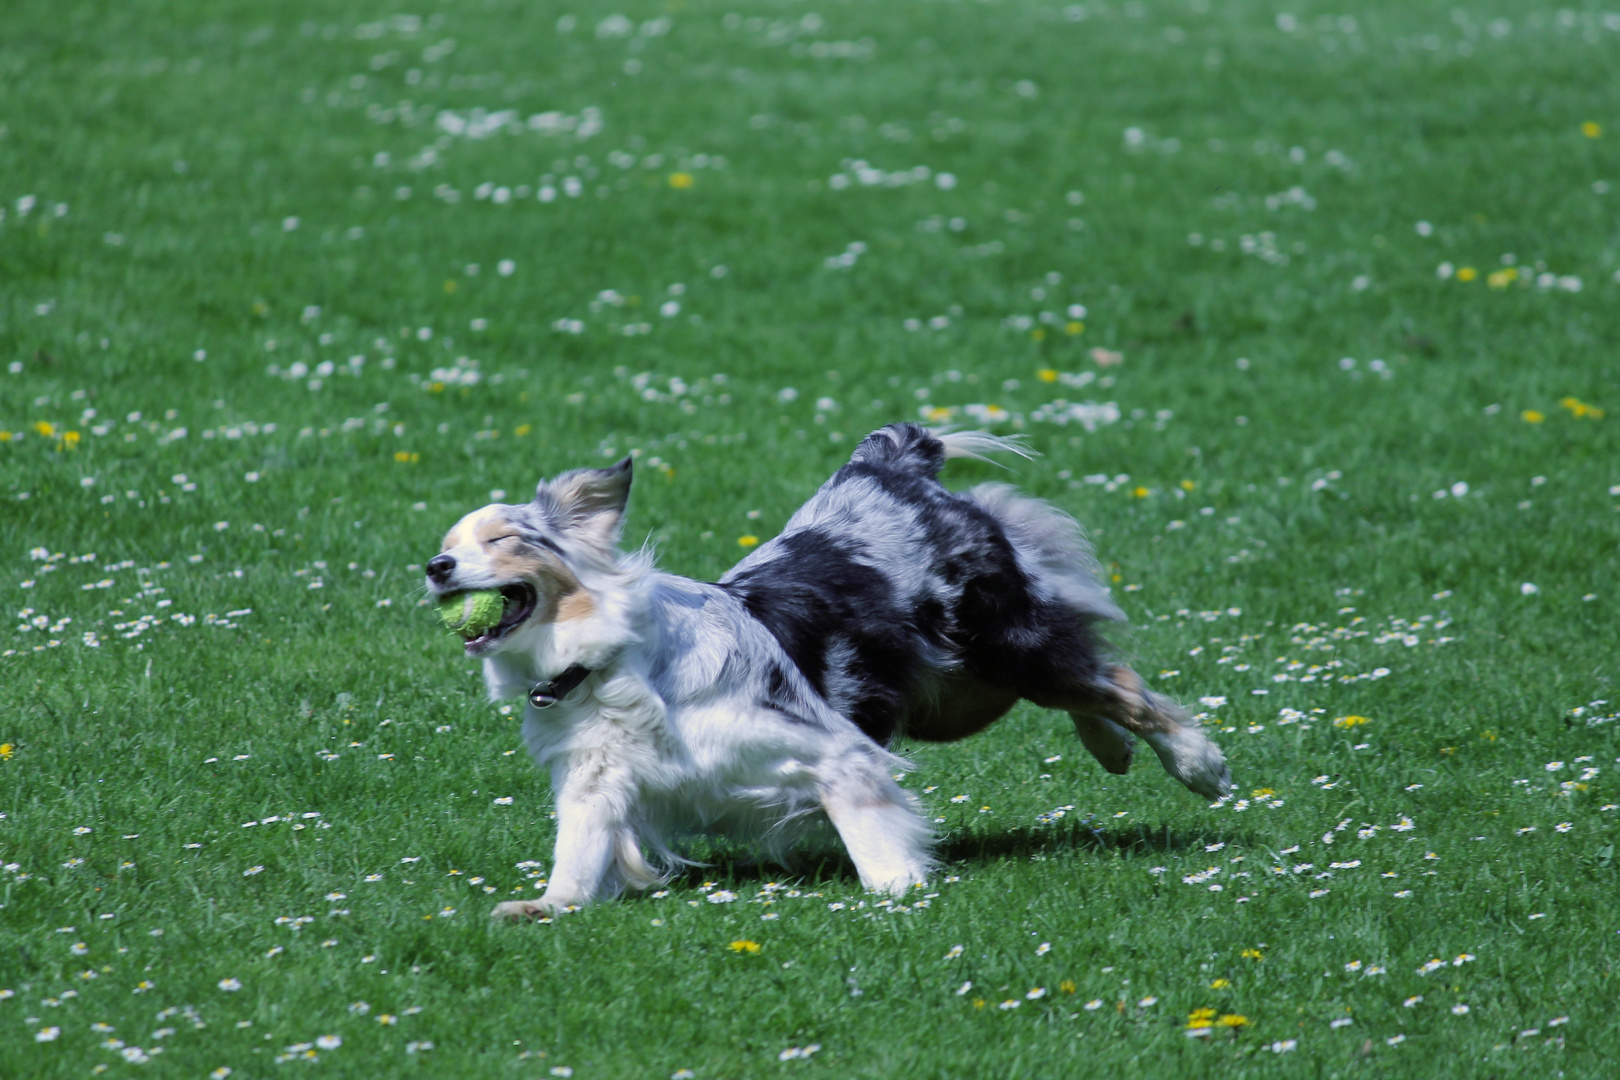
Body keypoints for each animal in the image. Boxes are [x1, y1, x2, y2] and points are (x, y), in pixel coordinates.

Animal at [424, 424, 1231, 919]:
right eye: (450, 542)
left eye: (505, 538)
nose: (435, 567)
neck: (609, 663)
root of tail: (883, 468)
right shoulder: (596, 776)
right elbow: (579, 850)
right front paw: (543, 908)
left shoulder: (836, 752)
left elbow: (874, 844)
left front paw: (902, 893)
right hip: (959, 697)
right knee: (1092, 679)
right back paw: (1111, 748)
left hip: (1006, 647)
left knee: (1116, 681)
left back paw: (1199, 764)